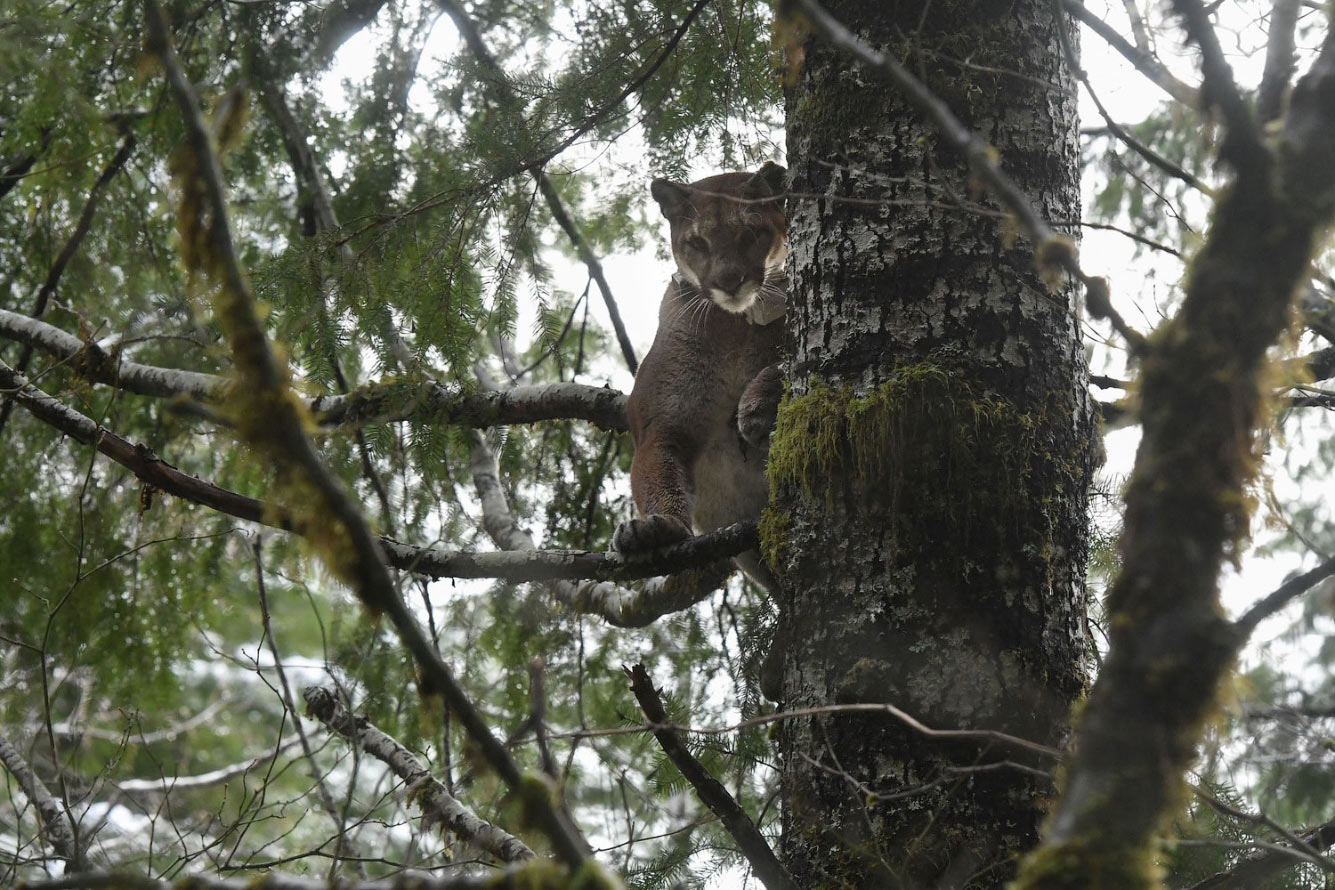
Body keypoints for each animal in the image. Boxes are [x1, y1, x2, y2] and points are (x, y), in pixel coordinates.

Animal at [611, 163, 784, 595]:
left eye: (749, 234)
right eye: (698, 242)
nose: (729, 281)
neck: (734, 326)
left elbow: (788, 361)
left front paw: (758, 405)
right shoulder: (664, 423)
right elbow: (660, 475)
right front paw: (659, 530)